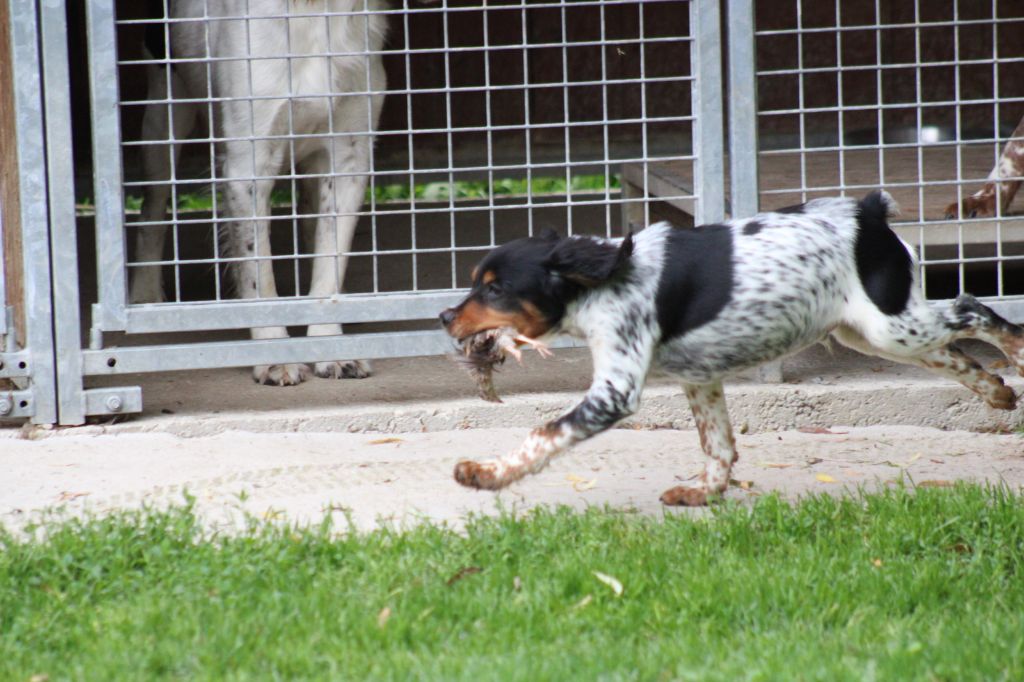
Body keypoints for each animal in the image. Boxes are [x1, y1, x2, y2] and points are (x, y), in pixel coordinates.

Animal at [133, 0, 387, 382]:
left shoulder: (348, 157)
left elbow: (330, 263)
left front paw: (330, 344)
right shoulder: (248, 164)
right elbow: (258, 272)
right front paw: (275, 354)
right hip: (163, 119)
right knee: (153, 209)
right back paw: (145, 291)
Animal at [440, 191, 1024, 503]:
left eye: (494, 289)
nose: (445, 317)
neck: (602, 277)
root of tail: (868, 213)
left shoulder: (616, 390)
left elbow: (544, 433)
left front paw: (488, 474)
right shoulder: (699, 379)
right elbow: (717, 443)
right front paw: (706, 493)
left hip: (891, 327)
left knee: (976, 309)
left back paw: (1014, 358)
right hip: (872, 331)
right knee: (955, 353)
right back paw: (996, 391)